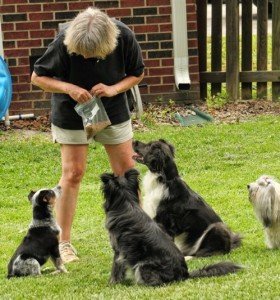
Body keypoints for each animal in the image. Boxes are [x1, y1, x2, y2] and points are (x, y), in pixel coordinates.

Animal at [101, 169, 243, 286]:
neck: (127, 203)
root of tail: (185, 274)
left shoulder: (119, 251)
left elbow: (116, 268)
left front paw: (112, 283)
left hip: (143, 266)